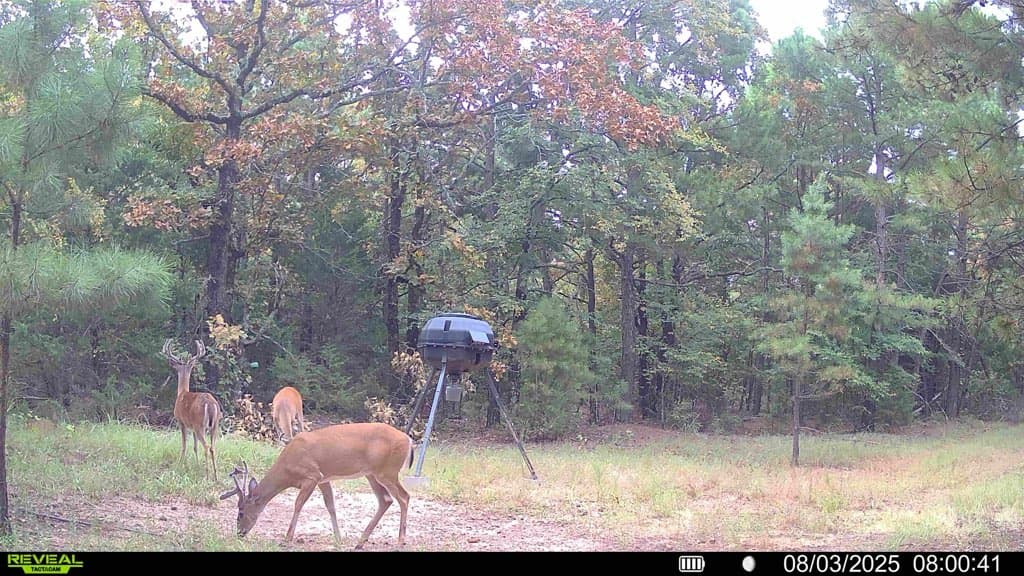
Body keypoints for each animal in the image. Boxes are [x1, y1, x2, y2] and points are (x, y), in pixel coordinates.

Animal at [161, 338, 222, 480]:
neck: (182, 393)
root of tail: (211, 404)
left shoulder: (181, 421)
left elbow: (184, 445)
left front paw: (180, 464)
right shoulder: (192, 426)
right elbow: (195, 447)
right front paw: (197, 466)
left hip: (200, 425)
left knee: (206, 446)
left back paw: (207, 475)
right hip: (214, 424)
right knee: (212, 447)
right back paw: (215, 476)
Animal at [219, 422, 414, 549]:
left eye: (240, 512)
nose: (239, 533)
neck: (287, 468)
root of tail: (409, 440)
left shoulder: (312, 476)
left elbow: (298, 504)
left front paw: (286, 539)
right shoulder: (324, 479)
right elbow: (331, 506)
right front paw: (338, 539)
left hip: (387, 471)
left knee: (404, 497)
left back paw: (400, 541)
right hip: (372, 474)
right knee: (386, 500)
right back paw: (360, 542)